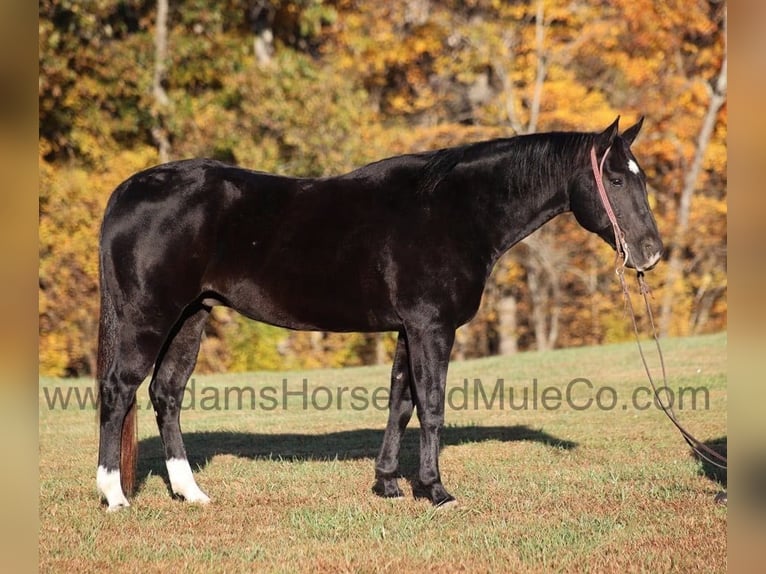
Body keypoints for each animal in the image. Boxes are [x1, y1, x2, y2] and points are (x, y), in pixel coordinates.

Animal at [96, 116, 663, 511]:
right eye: (615, 179)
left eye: (642, 179)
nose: (651, 253)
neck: (455, 209)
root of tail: (128, 191)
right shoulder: (431, 327)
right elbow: (431, 406)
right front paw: (435, 491)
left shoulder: (408, 329)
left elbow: (400, 403)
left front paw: (388, 483)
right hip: (149, 316)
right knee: (118, 390)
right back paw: (115, 497)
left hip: (190, 317)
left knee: (166, 394)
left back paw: (190, 492)